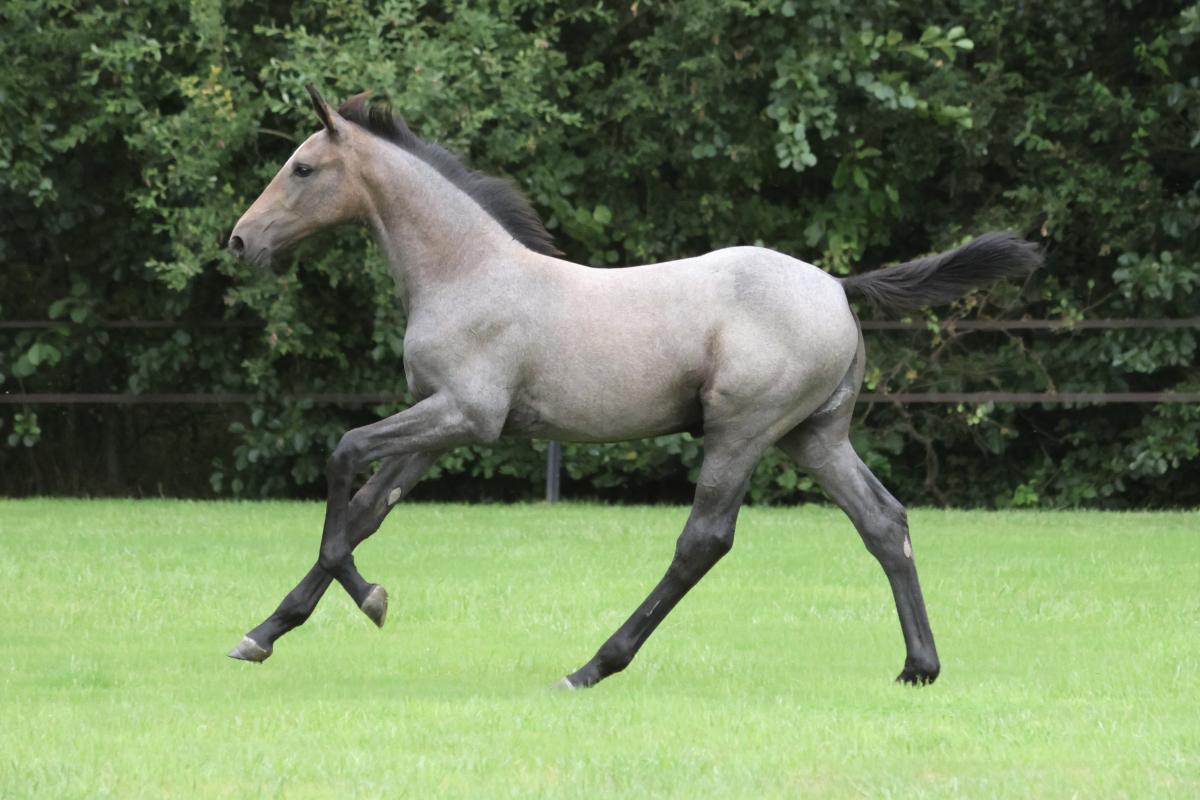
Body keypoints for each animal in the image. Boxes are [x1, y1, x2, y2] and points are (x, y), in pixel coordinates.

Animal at [226, 85, 1040, 689]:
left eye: (302, 168)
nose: (240, 240)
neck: (467, 273)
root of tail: (838, 287)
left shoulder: (464, 415)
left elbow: (343, 455)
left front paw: (372, 600)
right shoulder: (438, 424)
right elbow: (367, 510)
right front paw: (263, 633)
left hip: (742, 431)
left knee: (703, 541)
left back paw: (592, 666)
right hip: (815, 438)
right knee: (883, 522)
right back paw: (920, 666)